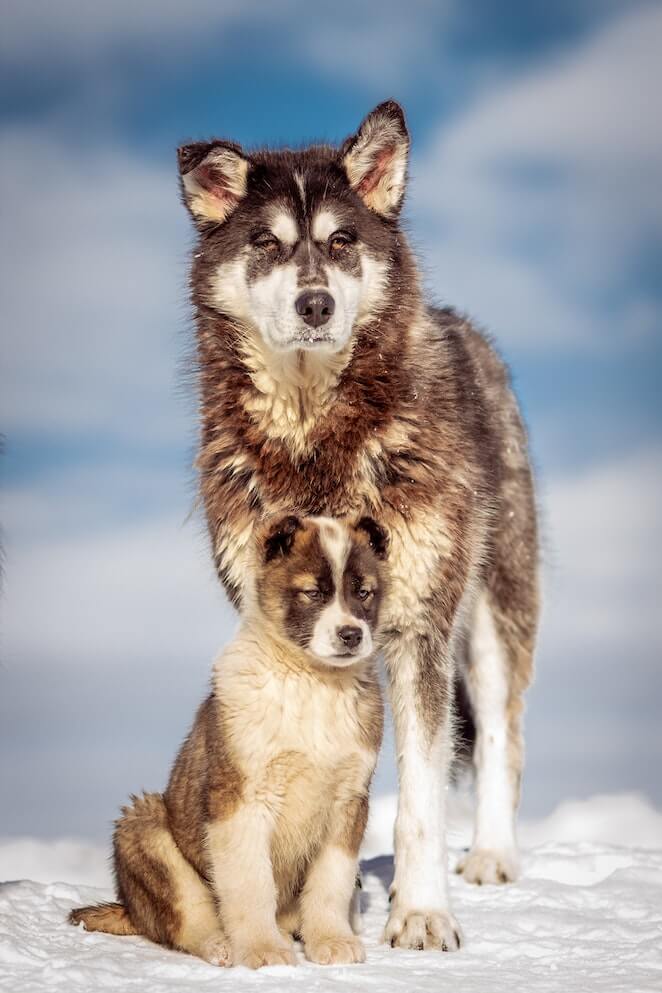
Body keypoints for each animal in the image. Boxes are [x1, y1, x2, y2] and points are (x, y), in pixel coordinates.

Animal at [68, 516, 390, 964]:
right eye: (312, 593)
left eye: (364, 593)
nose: (351, 634)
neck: (311, 683)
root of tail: (132, 910)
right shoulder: (240, 799)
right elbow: (250, 882)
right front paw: (261, 949)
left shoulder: (347, 802)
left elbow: (332, 881)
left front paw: (331, 940)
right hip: (144, 825)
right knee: (189, 917)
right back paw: (224, 945)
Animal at [175, 102, 540, 952]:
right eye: (266, 242)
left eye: (342, 240)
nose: (316, 304)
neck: (318, 436)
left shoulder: (417, 626)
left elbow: (422, 797)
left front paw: (422, 913)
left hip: (490, 612)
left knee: (501, 739)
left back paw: (492, 856)